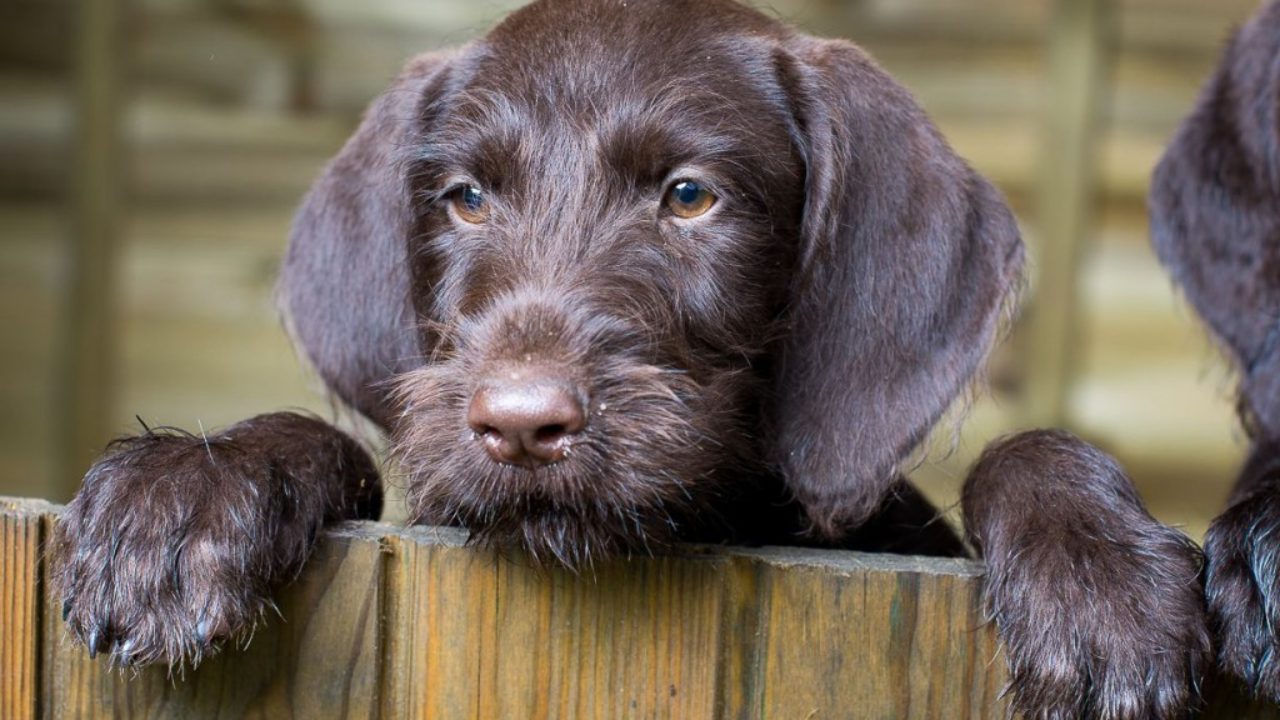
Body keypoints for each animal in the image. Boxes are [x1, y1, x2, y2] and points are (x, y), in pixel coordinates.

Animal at [55, 2, 1203, 712]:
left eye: (690, 195)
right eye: (466, 197)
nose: (521, 425)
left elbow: (1025, 451)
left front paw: (1095, 575)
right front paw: (195, 485)